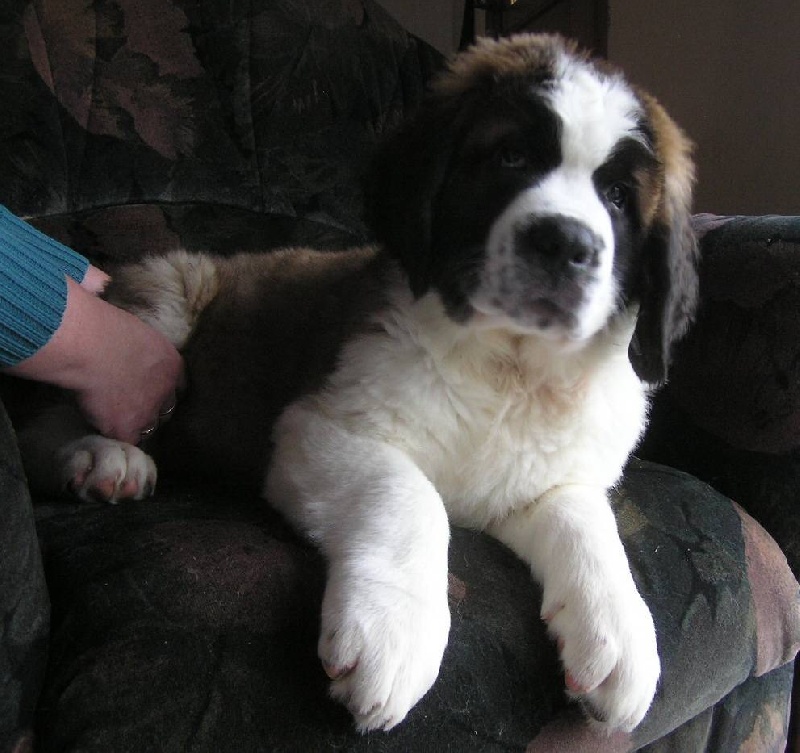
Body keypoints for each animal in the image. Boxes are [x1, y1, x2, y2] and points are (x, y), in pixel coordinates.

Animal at [19, 34, 698, 734]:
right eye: (511, 157)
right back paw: (103, 459)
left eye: (617, 197)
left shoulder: (541, 480)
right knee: (46, 418)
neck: (510, 367)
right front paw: (393, 634)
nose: (564, 242)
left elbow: (586, 517)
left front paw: (621, 632)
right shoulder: (319, 427)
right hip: (170, 297)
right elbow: (409, 495)